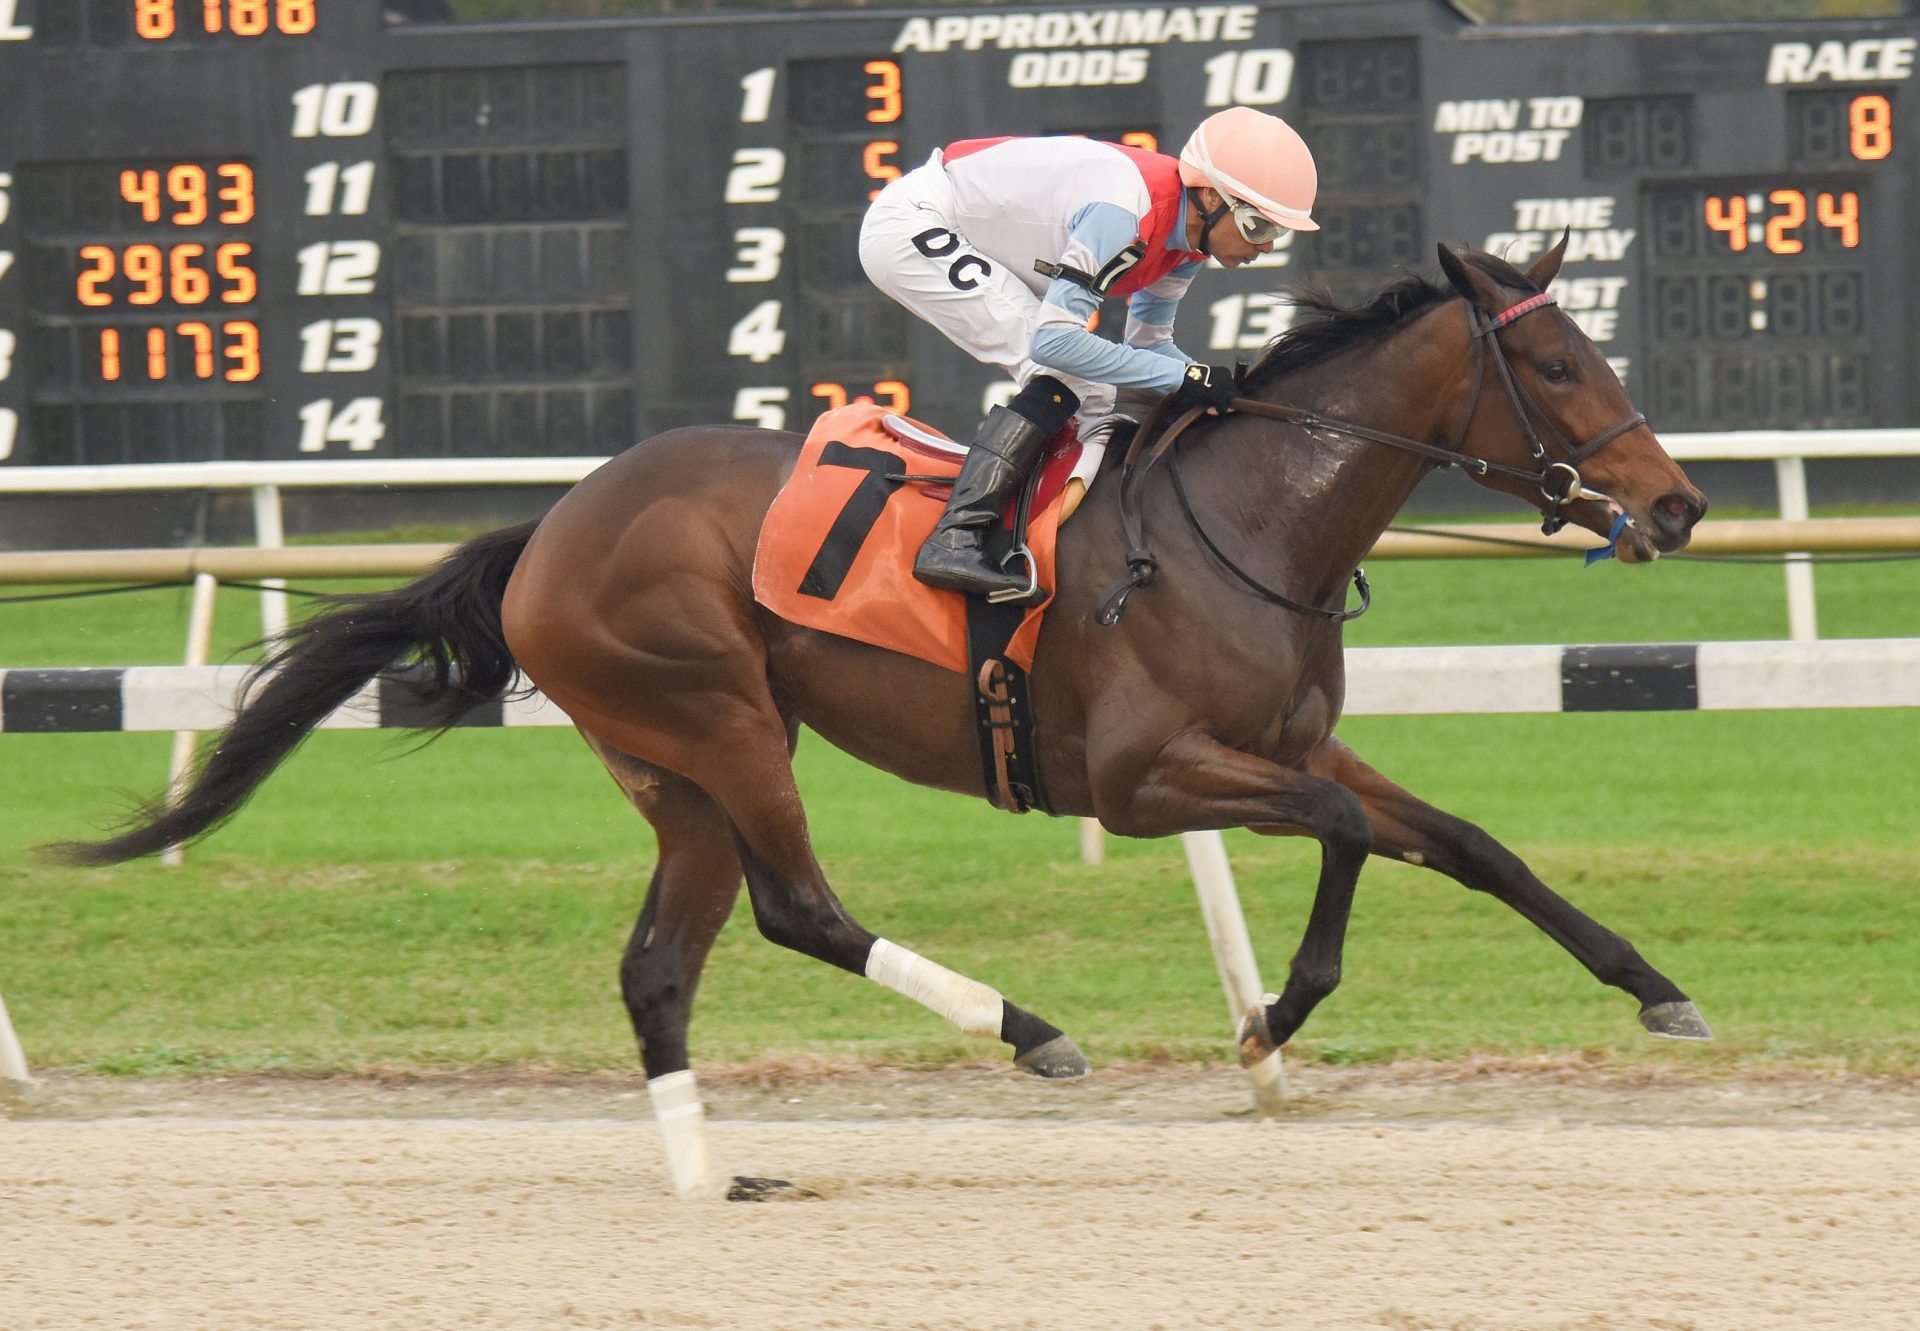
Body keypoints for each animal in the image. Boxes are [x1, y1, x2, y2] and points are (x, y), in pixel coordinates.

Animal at [60, 236, 1712, 1190]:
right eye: (1555, 360)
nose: (1678, 504)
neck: (1248, 520)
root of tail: (552, 525)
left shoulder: (1291, 741)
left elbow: (1470, 842)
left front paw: (1657, 986)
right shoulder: (1144, 778)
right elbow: (1336, 835)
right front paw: (1274, 1015)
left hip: (670, 765)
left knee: (660, 961)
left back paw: (708, 1173)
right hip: (720, 719)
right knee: (796, 904)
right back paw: (1031, 1031)